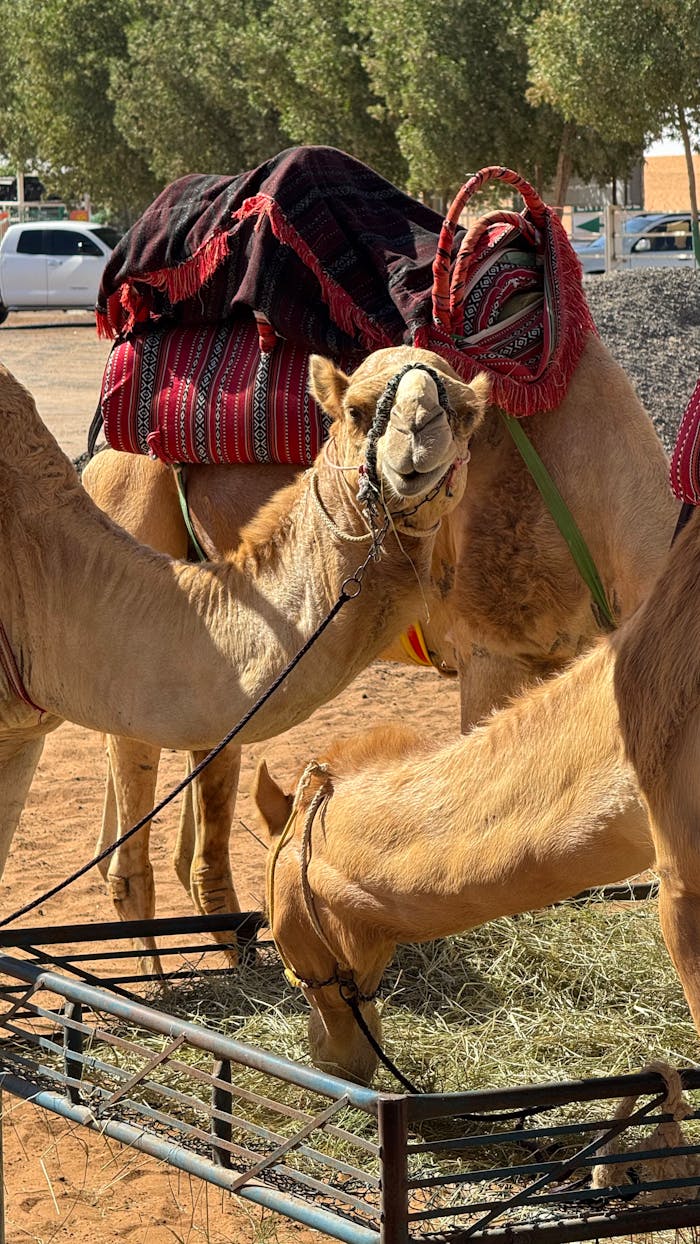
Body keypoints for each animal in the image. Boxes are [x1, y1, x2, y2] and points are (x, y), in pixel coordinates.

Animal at [83, 332, 679, 946]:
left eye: (467, 416)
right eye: (354, 412)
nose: (415, 440)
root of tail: (98, 459)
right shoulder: (491, 651)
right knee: (133, 856)